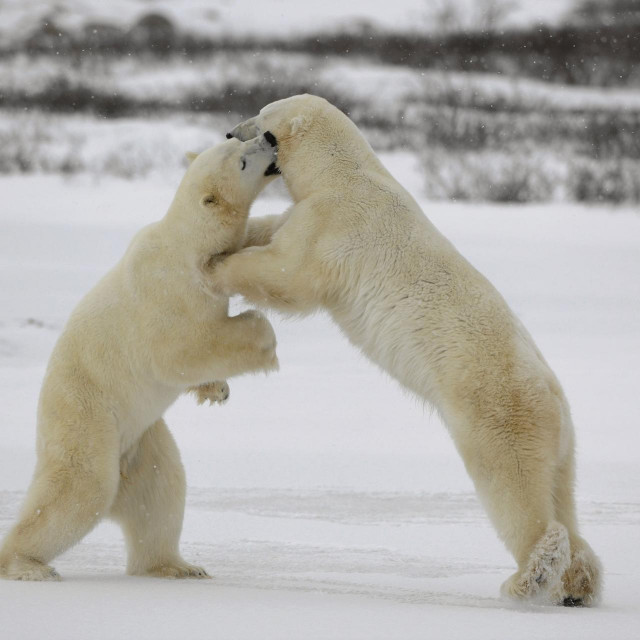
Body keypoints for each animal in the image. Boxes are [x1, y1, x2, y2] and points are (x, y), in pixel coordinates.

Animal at [0, 134, 280, 580]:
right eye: (240, 160)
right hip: (88, 417)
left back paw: (176, 567)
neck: (189, 245)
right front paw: (262, 337)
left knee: (162, 488)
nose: (269, 138)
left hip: (143, 440)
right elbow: (179, 351)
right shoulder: (170, 292)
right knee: (80, 490)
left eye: (235, 139)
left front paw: (216, 390)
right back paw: (28, 565)